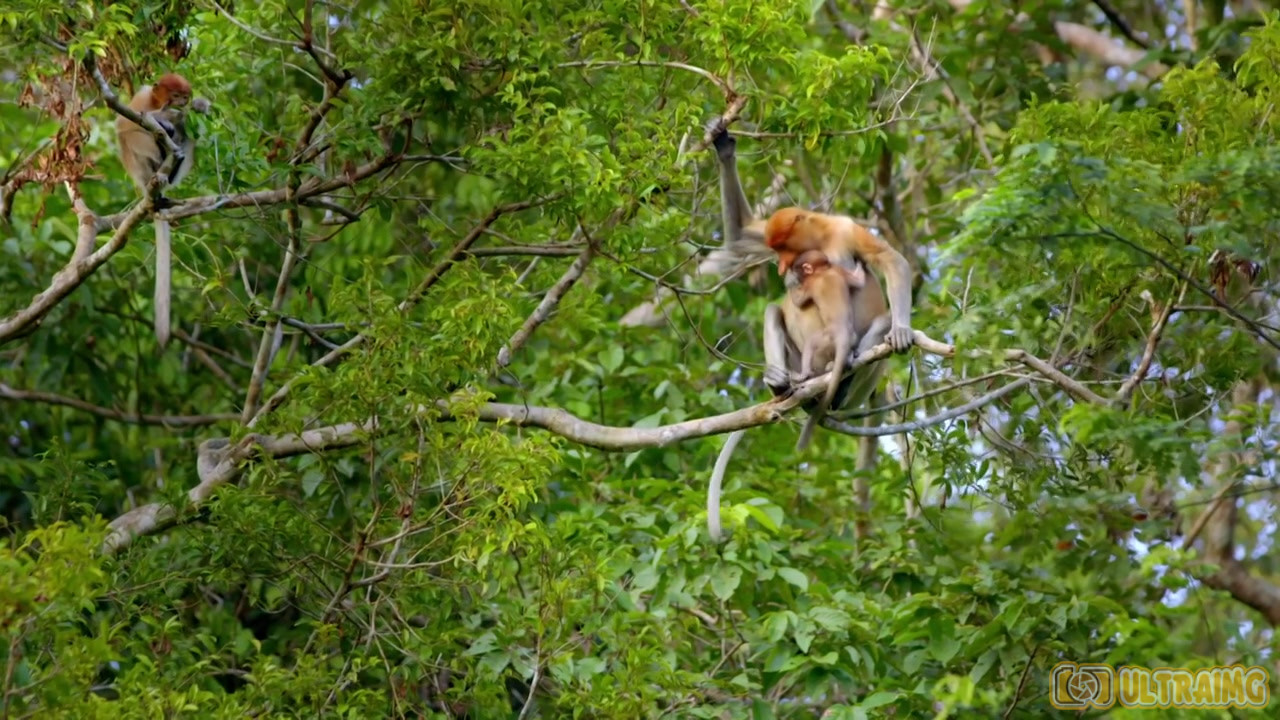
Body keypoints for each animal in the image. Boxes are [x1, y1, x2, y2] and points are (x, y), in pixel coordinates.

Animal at [116, 73, 208, 348]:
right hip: (140, 169)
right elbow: (125, 123)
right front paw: (165, 117)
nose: (182, 102)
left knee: (187, 137)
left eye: (184, 96)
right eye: (175, 95)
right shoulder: (141, 97)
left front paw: (199, 106)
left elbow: (191, 123)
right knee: (134, 134)